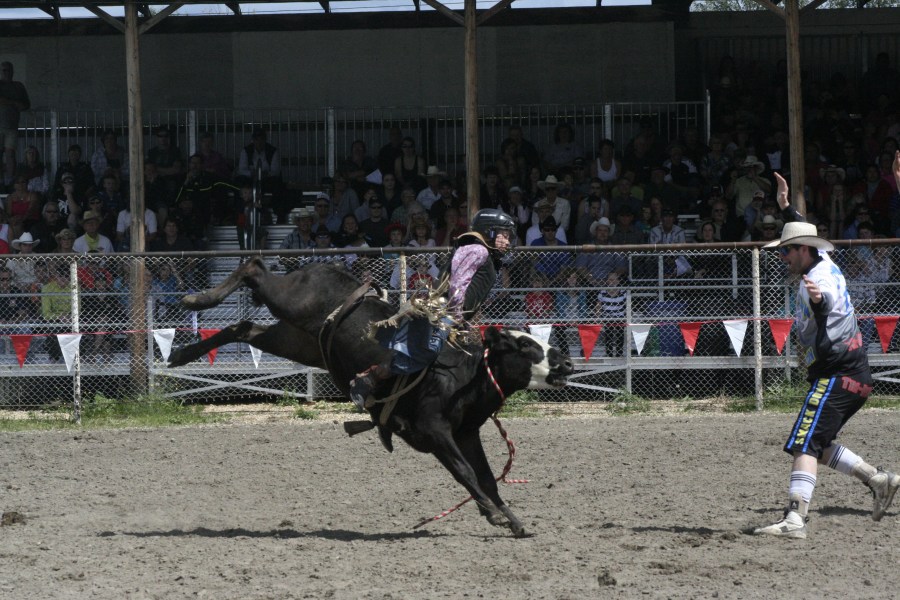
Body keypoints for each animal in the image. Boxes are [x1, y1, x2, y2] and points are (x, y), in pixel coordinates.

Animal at [176, 257, 573, 536]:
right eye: (525, 346)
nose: (568, 362)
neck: (465, 374)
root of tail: (328, 267)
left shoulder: (466, 434)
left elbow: (487, 478)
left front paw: (512, 520)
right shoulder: (434, 430)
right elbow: (464, 471)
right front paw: (493, 514)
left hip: (299, 340)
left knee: (243, 327)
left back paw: (181, 353)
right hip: (291, 301)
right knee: (254, 268)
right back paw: (197, 298)